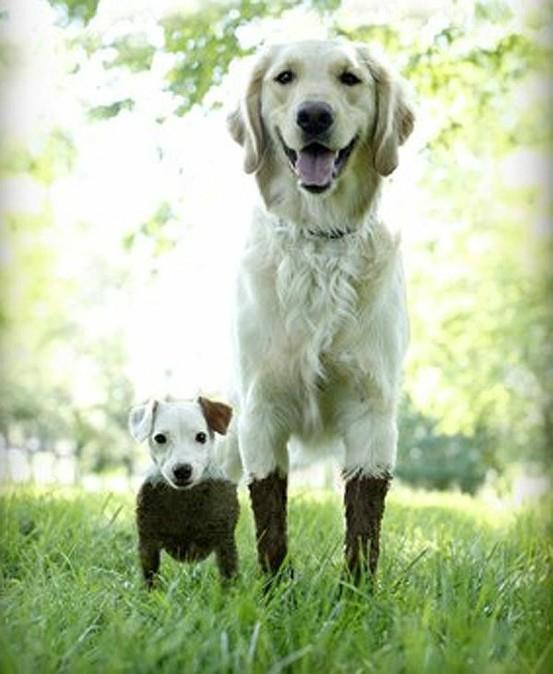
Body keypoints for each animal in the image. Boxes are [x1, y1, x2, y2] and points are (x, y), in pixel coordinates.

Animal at [226, 39, 412, 580]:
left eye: (350, 78)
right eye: (284, 78)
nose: (313, 115)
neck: (319, 240)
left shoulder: (373, 410)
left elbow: (364, 520)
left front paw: (358, 592)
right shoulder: (261, 409)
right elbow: (269, 516)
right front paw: (273, 590)